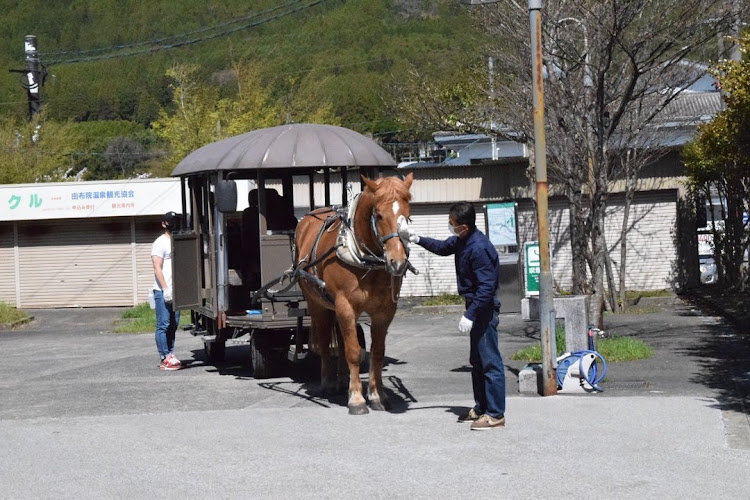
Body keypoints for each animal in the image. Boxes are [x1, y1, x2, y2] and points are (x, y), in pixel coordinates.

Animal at [294, 172, 414, 414]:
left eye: (408, 215)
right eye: (379, 215)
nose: (397, 262)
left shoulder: (384, 311)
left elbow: (376, 352)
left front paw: (377, 395)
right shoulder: (345, 306)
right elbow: (353, 352)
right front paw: (357, 399)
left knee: (340, 342)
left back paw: (342, 381)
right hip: (318, 303)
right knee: (324, 342)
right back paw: (328, 383)